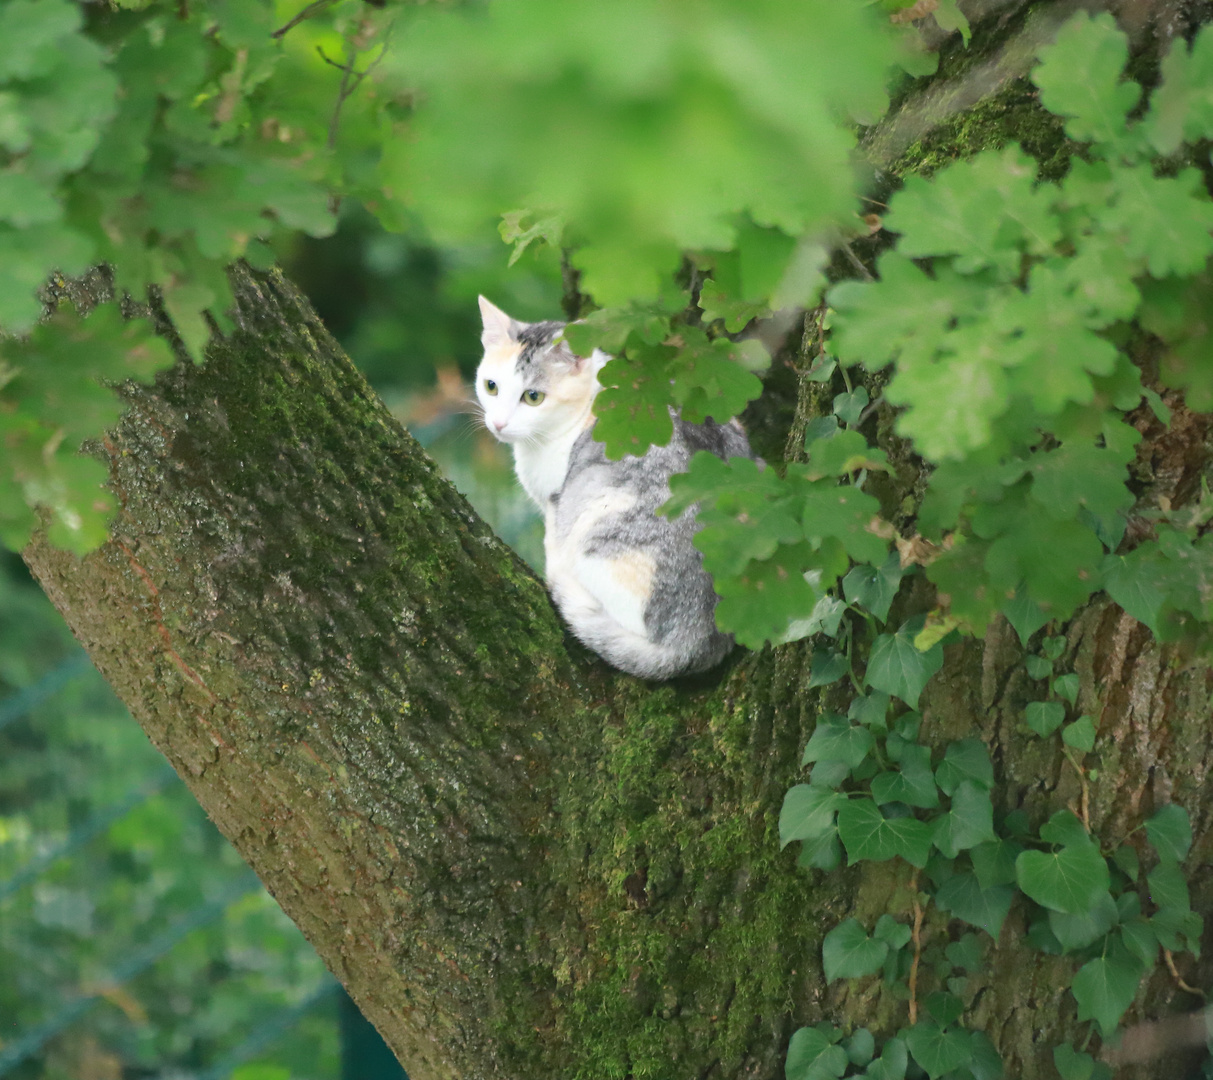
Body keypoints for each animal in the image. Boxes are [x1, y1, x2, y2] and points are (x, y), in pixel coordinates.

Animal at [477, 294, 752, 679]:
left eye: (533, 397)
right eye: (491, 386)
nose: (499, 424)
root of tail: (693, 644)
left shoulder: (555, 501)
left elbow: (552, 530)